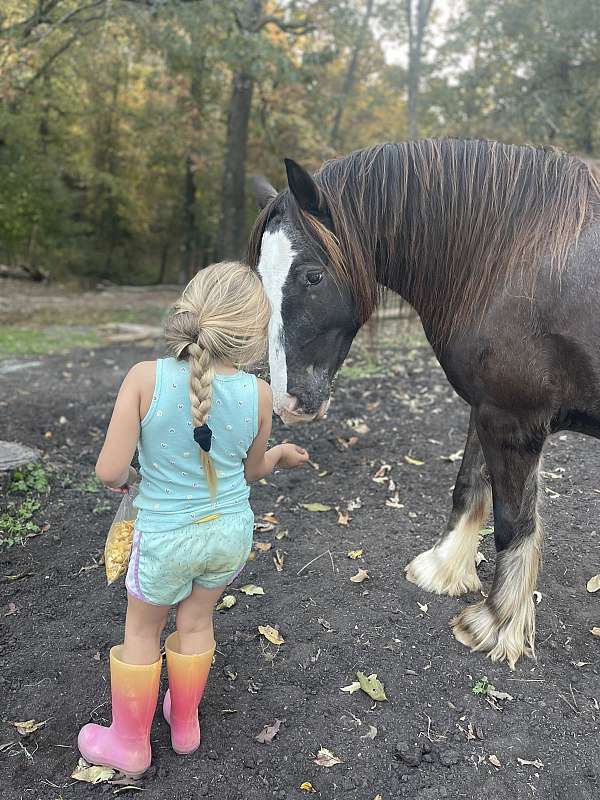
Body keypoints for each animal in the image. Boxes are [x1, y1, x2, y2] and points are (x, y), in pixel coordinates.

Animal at [245, 139, 600, 668]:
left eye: (311, 276)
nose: (288, 402)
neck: (512, 256)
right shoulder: (485, 409)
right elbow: (468, 487)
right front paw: (444, 568)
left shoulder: (513, 419)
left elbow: (513, 523)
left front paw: (496, 623)